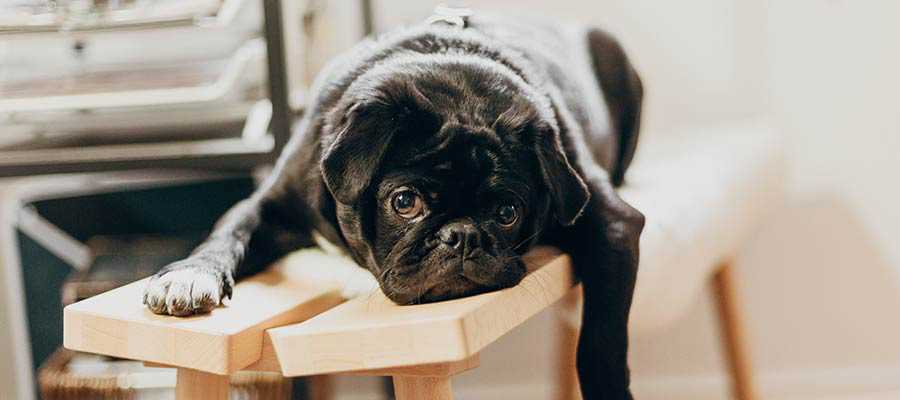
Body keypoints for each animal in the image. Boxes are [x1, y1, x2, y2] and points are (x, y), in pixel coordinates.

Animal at [144, 10, 644, 398]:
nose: (462, 235)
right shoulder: (270, 206)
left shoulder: (614, 226)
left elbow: (601, 340)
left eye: (507, 214)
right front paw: (188, 276)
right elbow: (228, 234)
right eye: (404, 202)